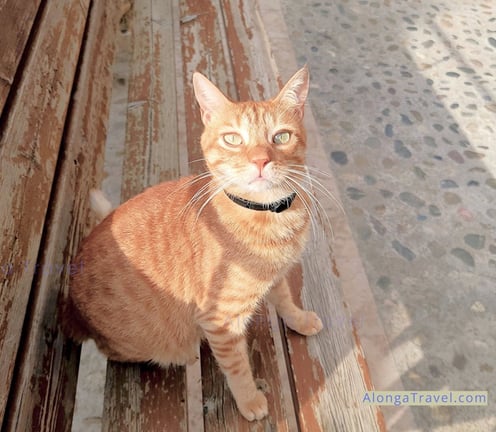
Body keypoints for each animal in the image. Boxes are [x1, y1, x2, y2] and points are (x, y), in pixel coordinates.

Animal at [62, 67, 324, 422]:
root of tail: (72, 309)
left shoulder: (275, 276)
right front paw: (250, 401)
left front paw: (299, 319)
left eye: (281, 137)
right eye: (232, 139)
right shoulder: (221, 321)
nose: (260, 162)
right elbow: (237, 366)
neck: (266, 213)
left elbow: (284, 299)